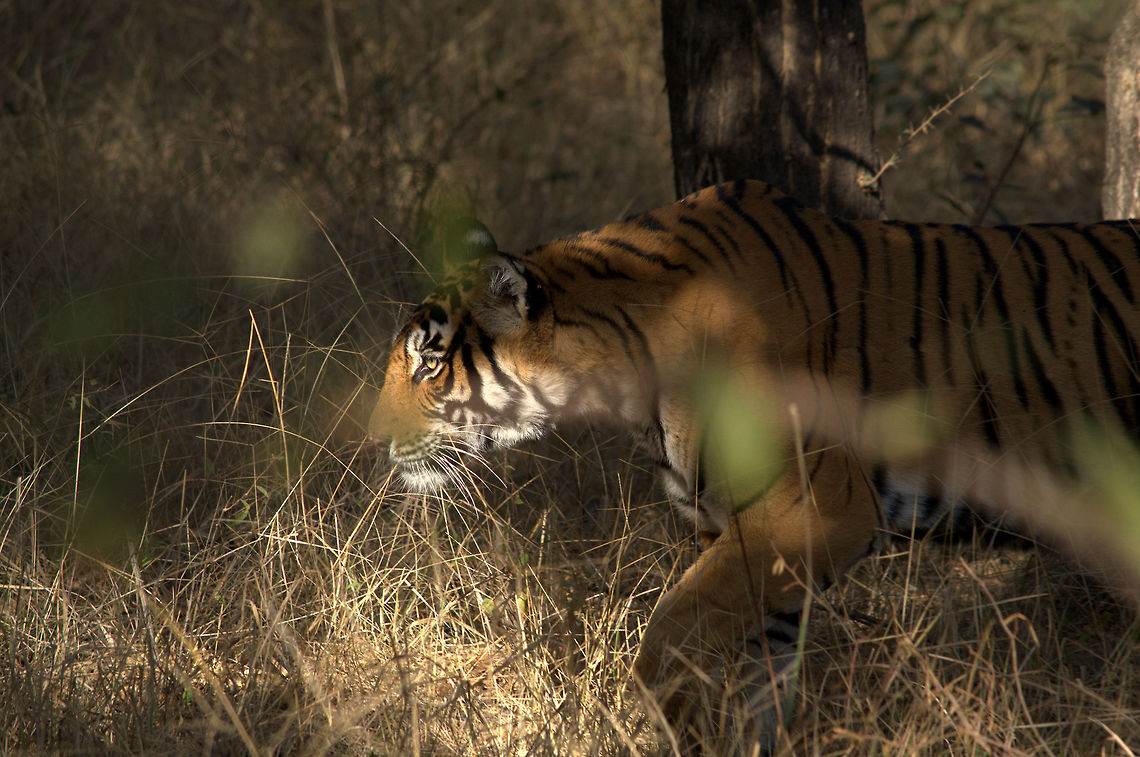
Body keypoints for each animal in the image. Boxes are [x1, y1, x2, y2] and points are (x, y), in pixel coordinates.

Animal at [367, 179, 1140, 751]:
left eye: (429, 363)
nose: (373, 442)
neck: (624, 379)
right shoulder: (747, 538)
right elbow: (753, 684)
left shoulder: (814, 510)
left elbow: (667, 641)